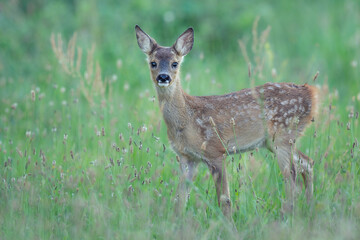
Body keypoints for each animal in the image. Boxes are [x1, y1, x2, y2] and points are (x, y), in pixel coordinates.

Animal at [134, 24, 318, 218]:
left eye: (174, 63)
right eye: (153, 63)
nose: (163, 77)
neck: (186, 120)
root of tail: (311, 93)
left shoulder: (215, 151)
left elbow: (225, 199)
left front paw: (228, 223)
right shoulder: (187, 157)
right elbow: (180, 198)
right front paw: (177, 221)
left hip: (282, 137)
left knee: (292, 178)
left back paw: (288, 215)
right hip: (276, 141)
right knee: (307, 163)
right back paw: (309, 208)